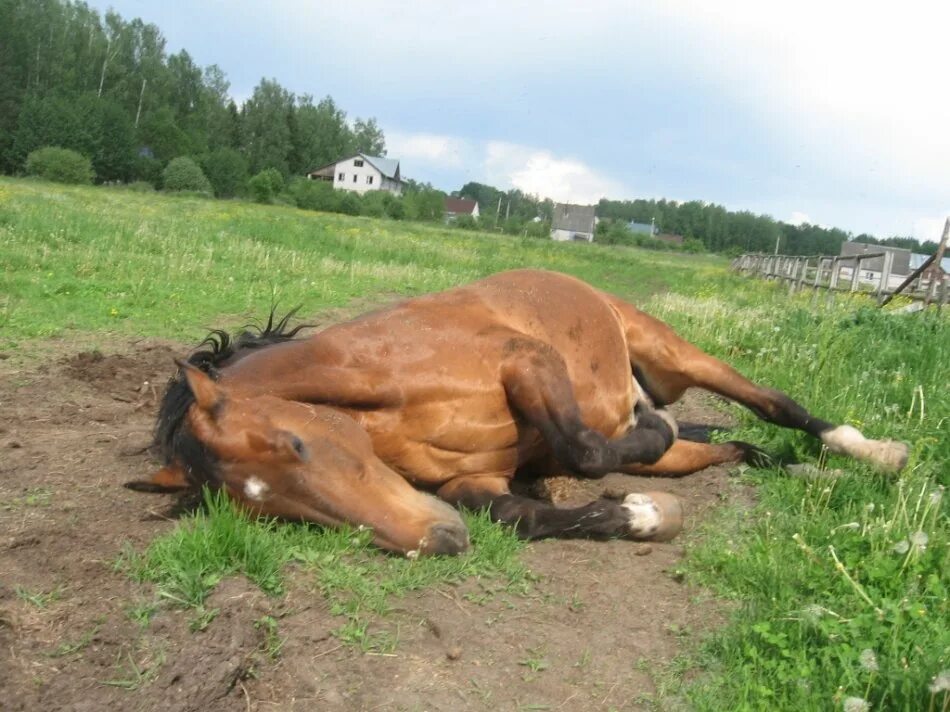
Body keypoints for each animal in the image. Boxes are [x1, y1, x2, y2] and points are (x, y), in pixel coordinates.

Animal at [136, 270, 916, 552]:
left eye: (295, 444)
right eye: (268, 511)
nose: (435, 540)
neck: (384, 386)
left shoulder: (526, 361)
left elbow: (587, 450)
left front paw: (641, 445)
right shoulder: (469, 483)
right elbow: (526, 515)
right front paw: (644, 515)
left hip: (673, 351)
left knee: (777, 407)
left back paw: (872, 454)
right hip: (689, 444)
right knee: (737, 448)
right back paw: (814, 478)